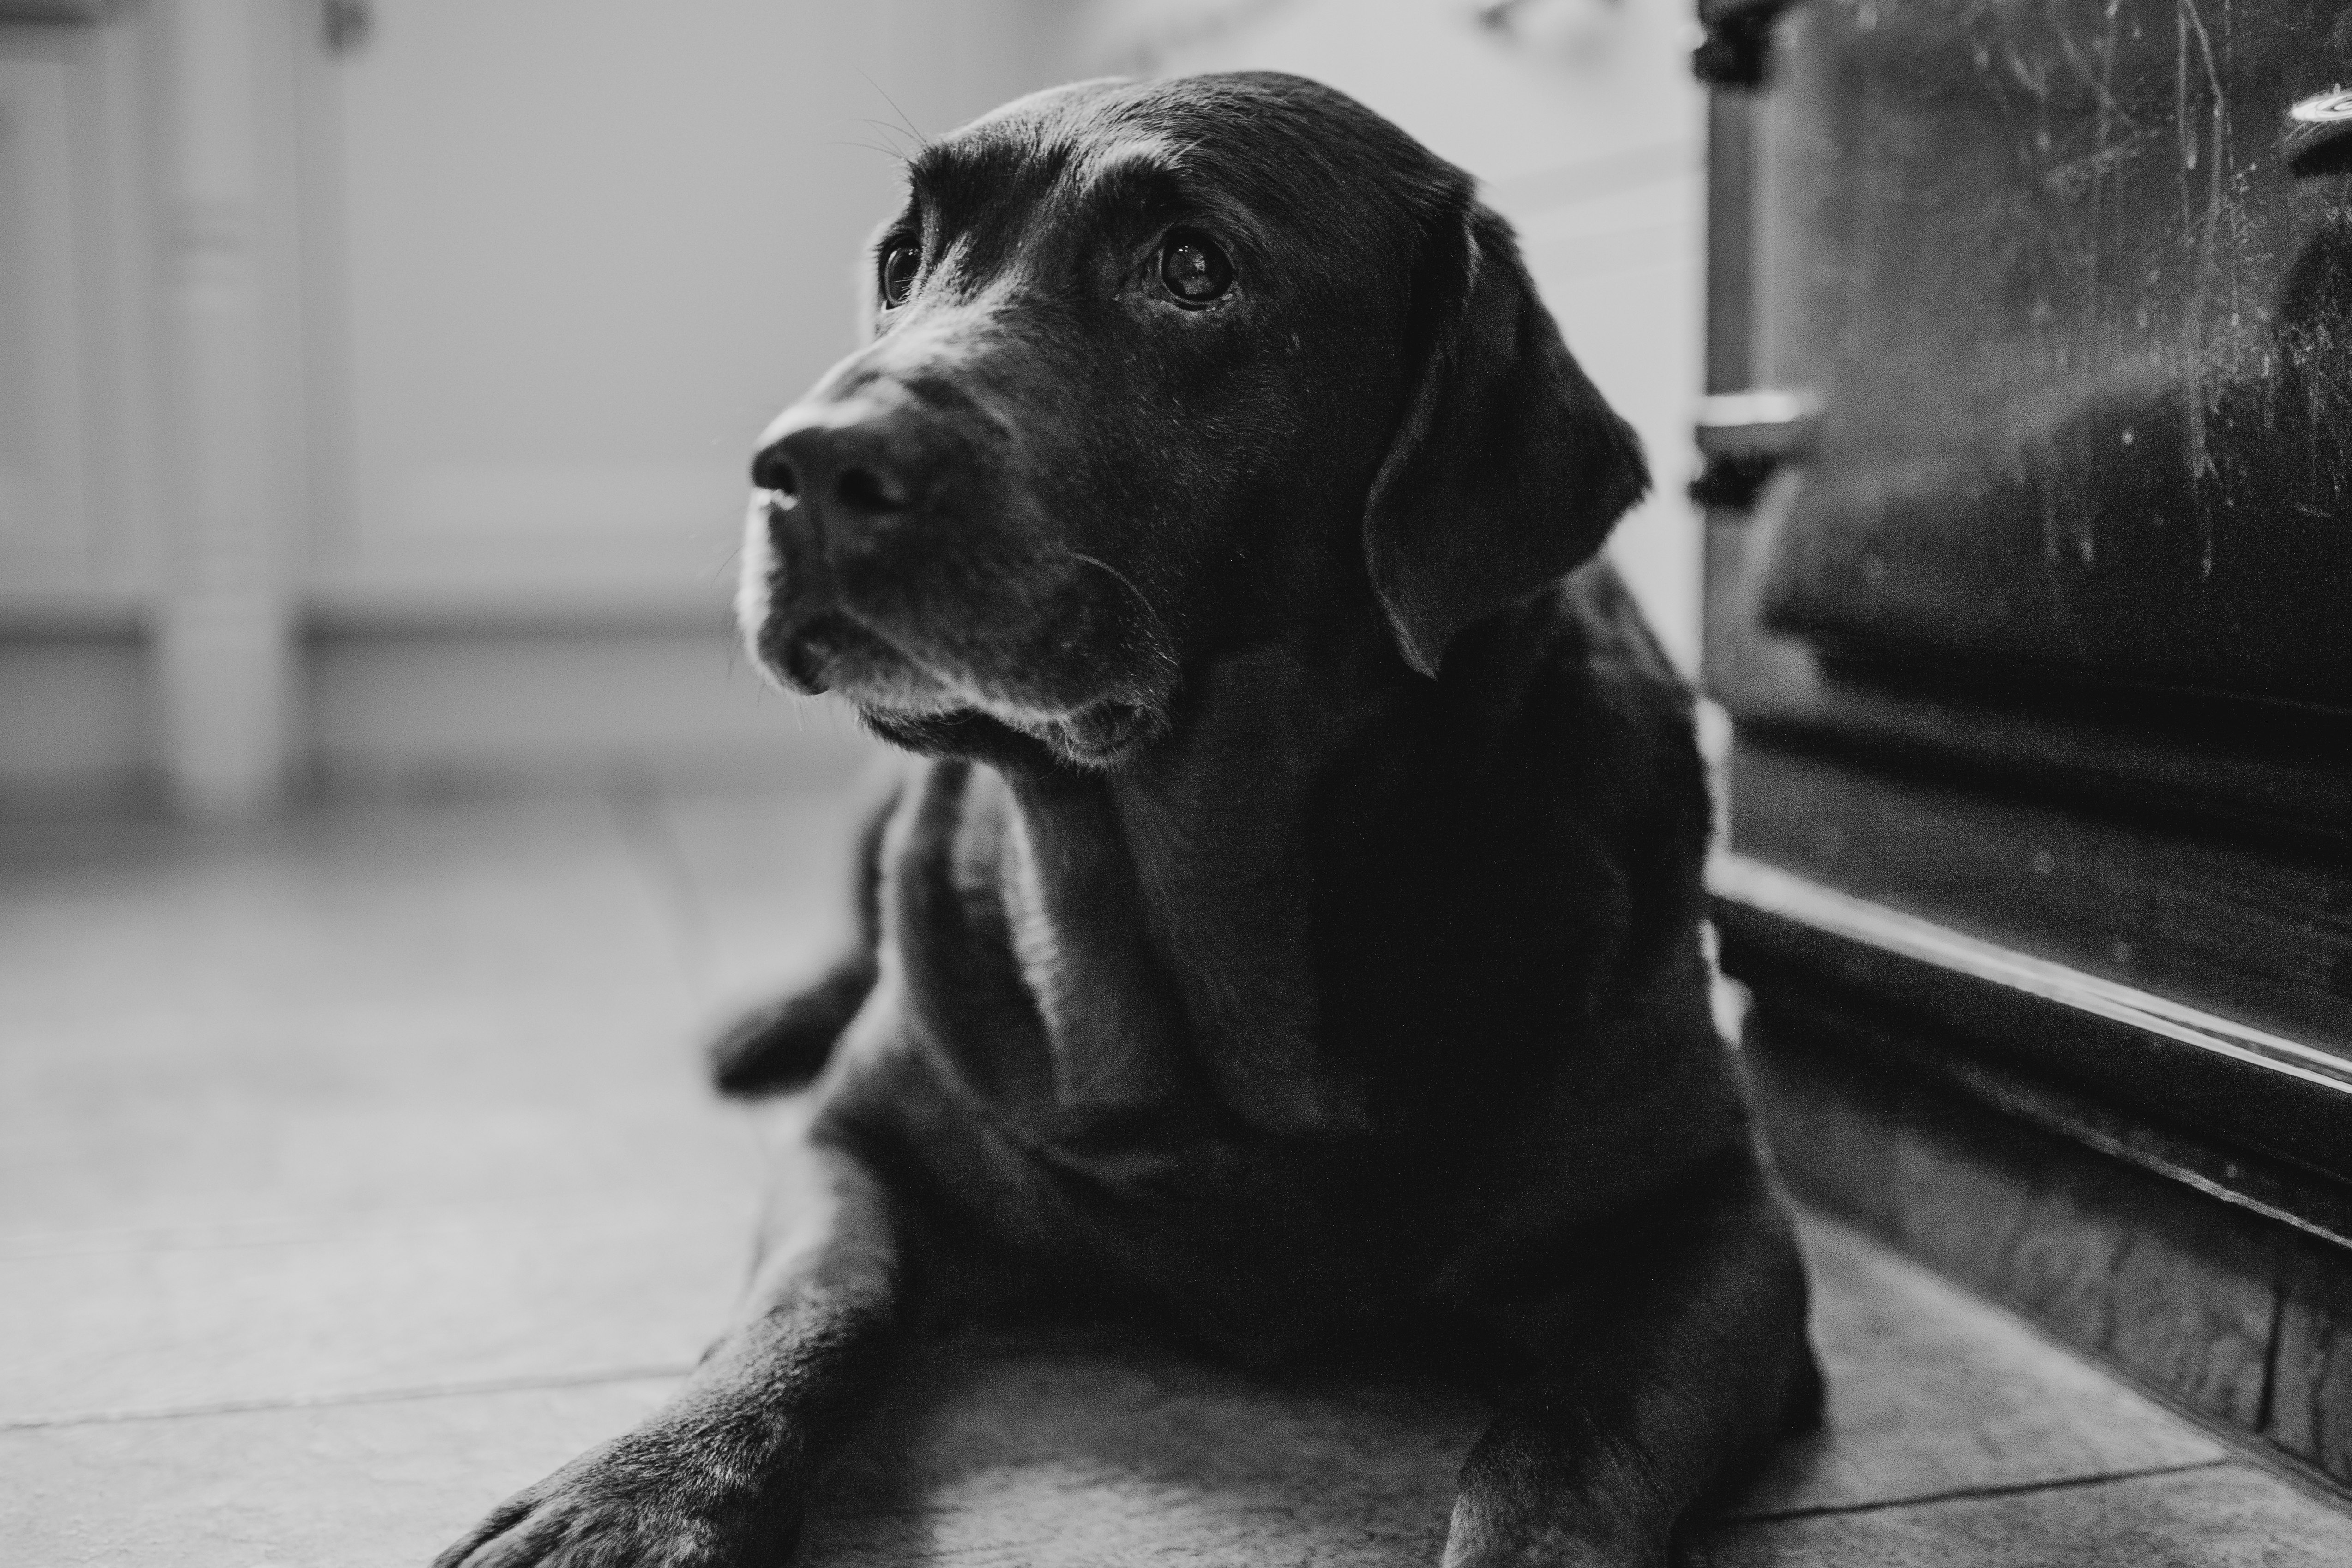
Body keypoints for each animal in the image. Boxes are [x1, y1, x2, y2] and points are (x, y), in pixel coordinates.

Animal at [437, 70, 1816, 1568]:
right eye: (901, 260)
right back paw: (769, 1017)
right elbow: (808, 1308)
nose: (802, 464)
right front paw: (640, 1489)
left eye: (1190, 269)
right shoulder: (854, 1146)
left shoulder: (1719, 1226)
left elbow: (1568, 1442)